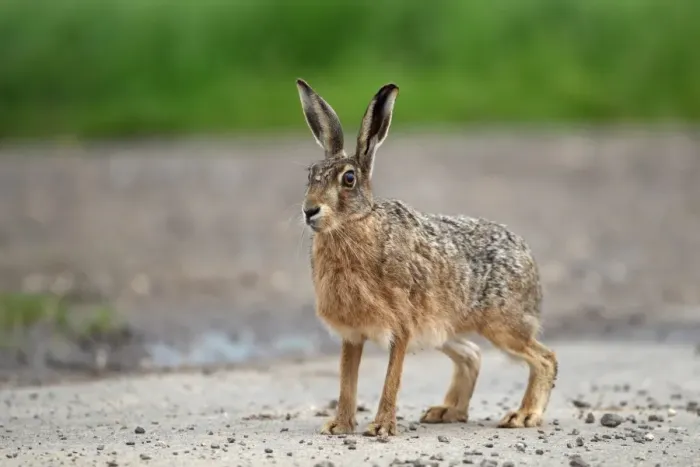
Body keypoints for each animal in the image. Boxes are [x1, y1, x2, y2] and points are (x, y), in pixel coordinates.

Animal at [295, 78, 558, 437]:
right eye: (310, 175)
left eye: (348, 179)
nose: (309, 210)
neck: (356, 225)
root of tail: (530, 261)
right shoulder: (353, 334)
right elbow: (347, 381)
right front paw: (339, 426)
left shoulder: (401, 327)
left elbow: (391, 380)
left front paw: (380, 428)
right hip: (442, 329)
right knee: (472, 354)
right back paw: (447, 411)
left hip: (503, 326)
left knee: (545, 358)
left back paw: (524, 415)